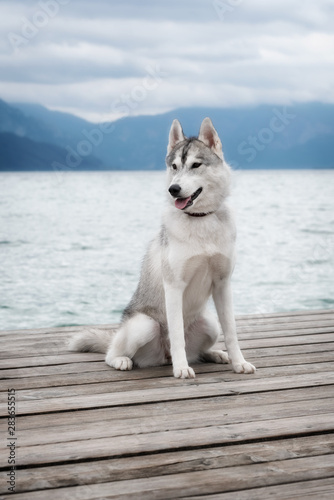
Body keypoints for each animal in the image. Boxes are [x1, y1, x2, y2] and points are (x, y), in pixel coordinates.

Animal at [70, 118, 256, 378]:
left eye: (196, 165)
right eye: (175, 166)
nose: (173, 189)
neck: (200, 220)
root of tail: (163, 357)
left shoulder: (223, 284)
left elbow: (232, 332)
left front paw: (239, 362)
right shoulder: (174, 286)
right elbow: (177, 336)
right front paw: (181, 368)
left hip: (209, 324)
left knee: (199, 351)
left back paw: (215, 354)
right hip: (144, 326)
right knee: (112, 353)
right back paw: (123, 360)